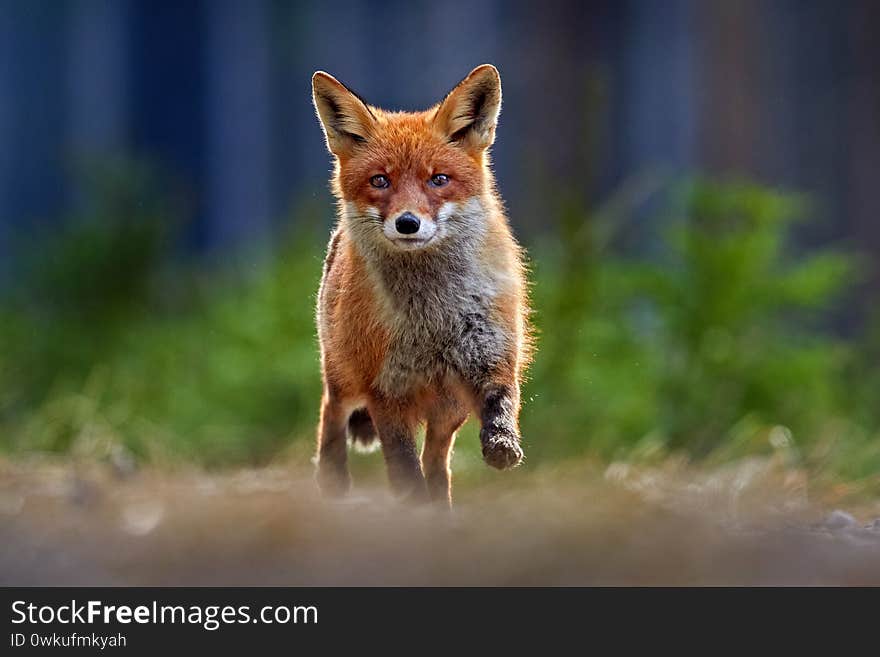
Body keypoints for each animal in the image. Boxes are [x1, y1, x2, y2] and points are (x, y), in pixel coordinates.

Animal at [312, 65, 528, 502]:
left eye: (438, 179)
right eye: (380, 181)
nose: (407, 223)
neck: (432, 318)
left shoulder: (491, 356)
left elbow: (502, 402)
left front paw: (503, 444)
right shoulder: (387, 392)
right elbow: (405, 474)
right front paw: (413, 507)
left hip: (447, 412)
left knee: (438, 466)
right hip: (344, 375)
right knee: (331, 413)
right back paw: (332, 480)